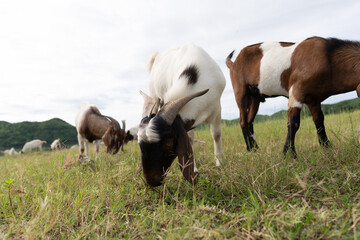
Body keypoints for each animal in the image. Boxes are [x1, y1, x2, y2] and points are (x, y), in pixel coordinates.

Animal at [138, 42, 225, 187]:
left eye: (168, 143)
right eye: (140, 146)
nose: (151, 181)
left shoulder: (217, 107)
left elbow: (216, 134)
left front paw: (220, 164)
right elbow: (189, 139)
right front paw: (195, 170)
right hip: (155, 96)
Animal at [226, 36, 360, 157]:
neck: (329, 59)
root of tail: (233, 63)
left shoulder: (314, 99)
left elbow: (319, 121)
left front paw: (327, 147)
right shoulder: (297, 91)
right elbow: (294, 122)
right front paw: (289, 154)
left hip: (256, 97)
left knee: (249, 121)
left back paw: (255, 149)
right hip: (241, 91)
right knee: (243, 121)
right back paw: (250, 150)